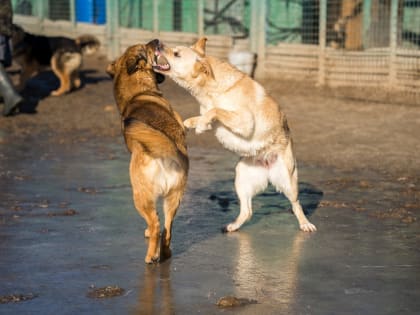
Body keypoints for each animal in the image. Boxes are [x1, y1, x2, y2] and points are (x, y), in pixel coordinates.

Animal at [106, 40, 189, 266]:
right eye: (147, 48)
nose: (156, 40)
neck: (138, 92)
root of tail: (165, 153)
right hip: (173, 198)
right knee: (166, 229)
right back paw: (164, 253)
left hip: (140, 196)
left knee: (156, 225)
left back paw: (151, 256)